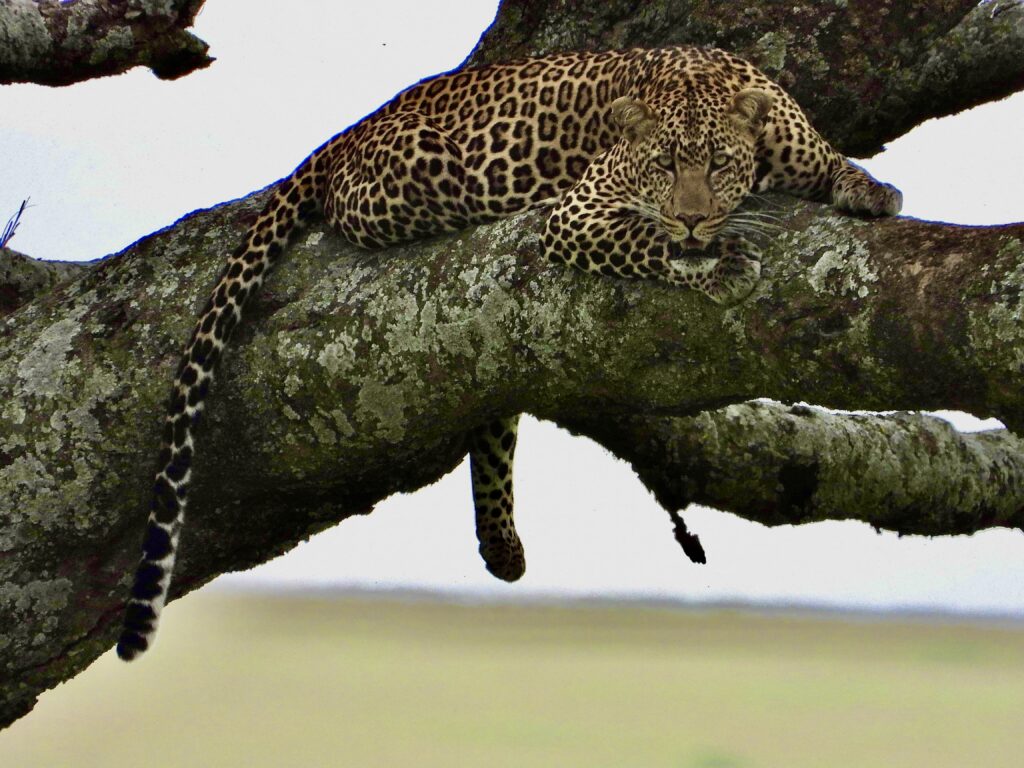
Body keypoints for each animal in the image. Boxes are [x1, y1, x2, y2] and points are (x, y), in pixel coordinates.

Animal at [119, 45, 901, 659]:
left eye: (715, 162)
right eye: (661, 165)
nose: (691, 215)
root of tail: (352, 128)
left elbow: (837, 167)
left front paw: (869, 188)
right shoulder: (580, 213)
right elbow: (648, 241)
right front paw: (716, 258)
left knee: (493, 416)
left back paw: (502, 546)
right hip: (422, 175)